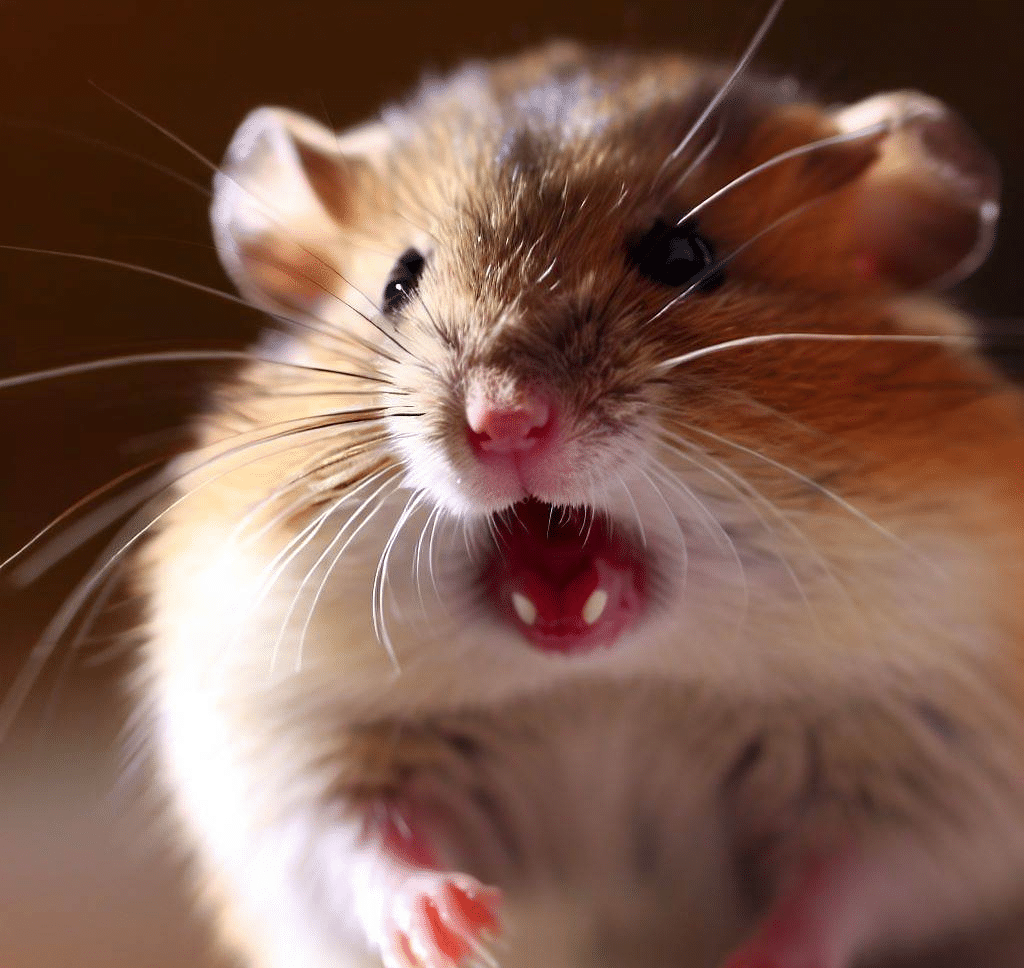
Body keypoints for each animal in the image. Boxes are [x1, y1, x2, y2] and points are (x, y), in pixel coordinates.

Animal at [134, 34, 1024, 966]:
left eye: (684, 257)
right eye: (398, 282)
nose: (504, 419)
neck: (603, 680)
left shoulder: (930, 773)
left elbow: (842, 889)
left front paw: (750, 957)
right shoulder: (292, 748)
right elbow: (363, 846)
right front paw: (460, 925)